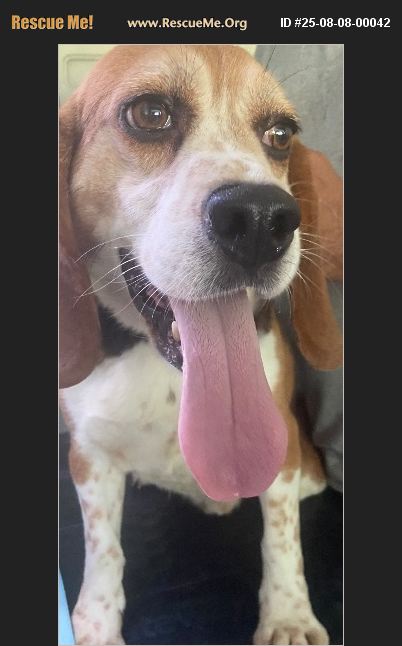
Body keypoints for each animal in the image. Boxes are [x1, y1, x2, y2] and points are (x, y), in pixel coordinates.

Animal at [59, 45, 343, 645]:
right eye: (150, 114)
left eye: (281, 134)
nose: (261, 218)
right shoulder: (89, 456)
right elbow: (103, 546)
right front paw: (94, 622)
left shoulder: (282, 448)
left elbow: (281, 537)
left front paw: (288, 616)